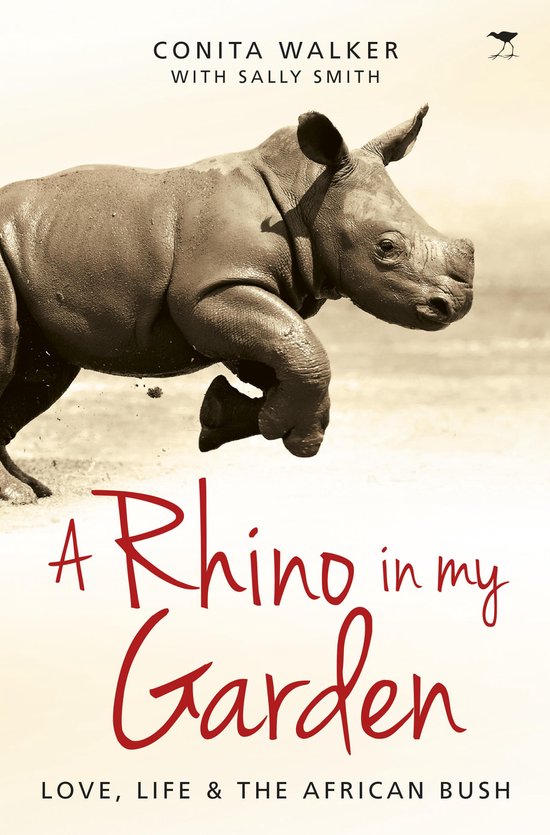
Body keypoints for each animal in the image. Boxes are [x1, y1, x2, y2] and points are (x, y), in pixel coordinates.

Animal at [0, 105, 474, 504]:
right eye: (386, 248)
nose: (455, 305)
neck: (304, 196)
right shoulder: (215, 289)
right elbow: (302, 351)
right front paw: (290, 435)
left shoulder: (245, 295)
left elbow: (287, 355)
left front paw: (226, 418)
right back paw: (20, 495)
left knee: (36, 375)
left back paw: (30, 490)